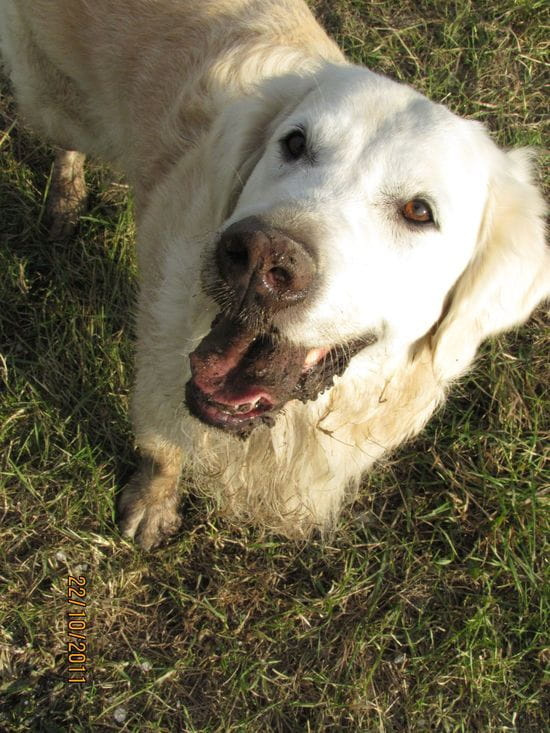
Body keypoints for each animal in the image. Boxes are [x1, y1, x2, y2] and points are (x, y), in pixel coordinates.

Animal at [2, 0, 548, 548]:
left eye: (419, 211)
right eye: (295, 142)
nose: (259, 259)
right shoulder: (159, 368)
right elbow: (162, 447)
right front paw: (152, 503)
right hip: (54, 104)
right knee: (67, 140)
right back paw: (65, 198)